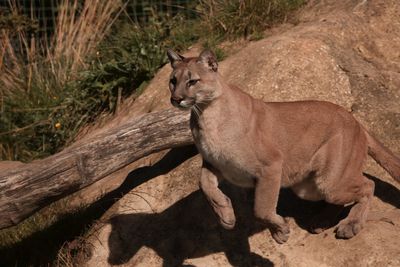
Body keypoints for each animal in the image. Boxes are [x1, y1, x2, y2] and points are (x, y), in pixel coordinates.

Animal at [166, 49, 400, 244]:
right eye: (173, 81)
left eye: (192, 81)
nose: (176, 99)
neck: (207, 115)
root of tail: (356, 121)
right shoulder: (215, 163)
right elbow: (204, 184)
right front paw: (226, 215)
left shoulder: (270, 165)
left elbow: (261, 208)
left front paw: (280, 231)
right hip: (307, 188)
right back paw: (321, 222)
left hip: (331, 182)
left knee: (368, 185)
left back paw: (351, 225)